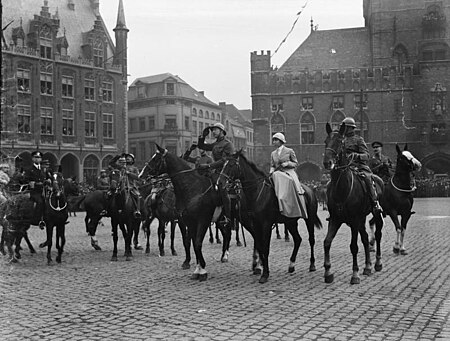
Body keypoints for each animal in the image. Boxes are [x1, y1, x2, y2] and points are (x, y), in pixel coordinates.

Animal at [141, 145, 232, 280]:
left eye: (156, 159)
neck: (191, 189)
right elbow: (190, 242)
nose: (141, 174)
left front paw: (202, 270)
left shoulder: (202, 221)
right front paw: (194, 267)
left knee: (228, 234)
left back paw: (225, 256)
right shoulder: (186, 221)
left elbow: (197, 243)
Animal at [219, 150, 322, 282]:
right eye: (223, 164)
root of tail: (309, 189)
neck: (257, 192)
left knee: (311, 239)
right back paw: (291, 265)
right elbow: (260, 246)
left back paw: (312, 265)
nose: (220, 182)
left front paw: (264, 273)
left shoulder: (266, 224)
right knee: (298, 239)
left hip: (309, 220)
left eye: (231, 165)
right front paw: (261, 268)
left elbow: (265, 248)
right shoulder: (255, 224)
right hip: (290, 221)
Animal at [322, 123, 384, 284]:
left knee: (377, 235)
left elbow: (354, 246)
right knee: (365, 238)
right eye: (326, 141)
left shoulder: (354, 220)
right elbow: (327, 242)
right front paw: (328, 272)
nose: (327, 162)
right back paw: (367, 267)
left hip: (375, 214)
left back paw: (377, 263)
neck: (342, 188)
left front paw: (355, 274)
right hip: (361, 219)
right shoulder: (336, 219)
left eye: (340, 142)